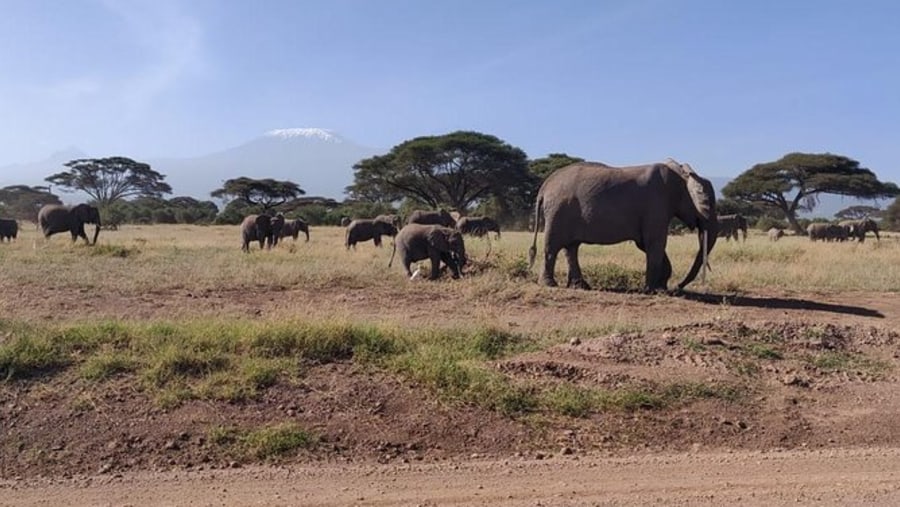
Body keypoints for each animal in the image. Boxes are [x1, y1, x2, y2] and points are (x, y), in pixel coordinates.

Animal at [528, 159, 716, 294]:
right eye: (706, 203)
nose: (678, 286)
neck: (680, 174)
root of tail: (544, 186)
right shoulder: (656, 205)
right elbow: (654, 243)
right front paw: (653, 290)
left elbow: (646, 244)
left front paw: (661, 288)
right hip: (558, 211)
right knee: (553, 247)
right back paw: (550, 284)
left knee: (571, 248)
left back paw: (580, 286)